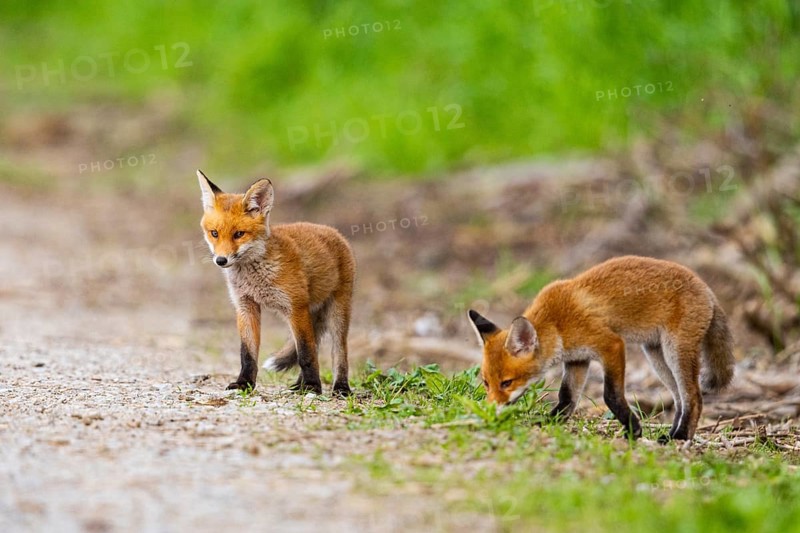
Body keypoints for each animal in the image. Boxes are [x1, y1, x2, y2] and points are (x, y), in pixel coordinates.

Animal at [197, 170, 356, 395]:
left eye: (239, 234)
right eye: (214, 233)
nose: (221, 260)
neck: (255, 276)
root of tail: (334, 231)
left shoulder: (296, 307)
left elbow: (306, 354)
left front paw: (313, 386)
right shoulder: (246, 306)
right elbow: (247, 355)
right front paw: (244, 383)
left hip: (337, 313)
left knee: (338, 352)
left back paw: (340, 387)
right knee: (314, 345)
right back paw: (298, 385)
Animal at [468, 255, 735, 441]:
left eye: (506, 383)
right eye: (486, 383)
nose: (489, 408)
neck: (556, 324)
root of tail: (707, 289)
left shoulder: (611, 345)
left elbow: (610, 395)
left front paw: (633, 430)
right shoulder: (577, 360)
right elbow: (567, 397)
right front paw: (549, 422)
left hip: (675, 351)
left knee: (694, 396)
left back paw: (679, 437)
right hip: (656, 354)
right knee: (679, 398)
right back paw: (671, 434)